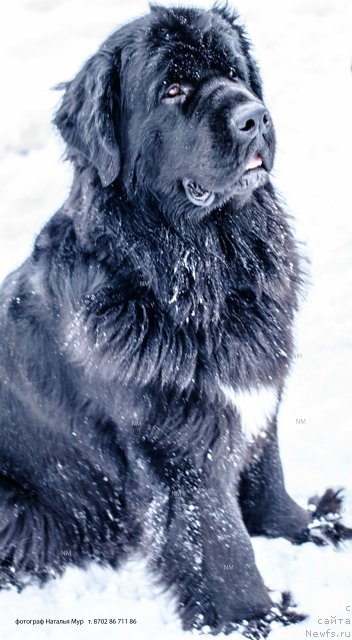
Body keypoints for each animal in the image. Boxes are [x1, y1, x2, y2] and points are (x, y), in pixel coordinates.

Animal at [0, 2, 352, 636]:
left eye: (235, 73)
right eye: (172, 89)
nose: (254, 117)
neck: (204, 268)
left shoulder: (255, 396)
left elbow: (267, 477)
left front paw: (309, 528)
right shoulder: (178, 442)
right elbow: (218, 536)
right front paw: (257, 616)